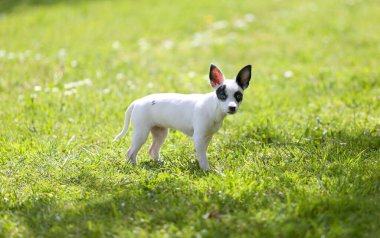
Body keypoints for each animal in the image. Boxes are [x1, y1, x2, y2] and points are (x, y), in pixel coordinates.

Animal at [116, 64, 252, 170]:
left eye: (238, 96)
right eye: (222, 96)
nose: (232, 107)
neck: (213, 107)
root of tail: (137, 101)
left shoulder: (206, 137)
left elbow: (202, 154)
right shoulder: (199, 138)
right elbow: (203, 157)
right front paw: (207, 170)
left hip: (160, 133)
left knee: (153, 150)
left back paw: (161, 163)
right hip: (141, 133)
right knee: (130, 152)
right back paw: (134, 166)